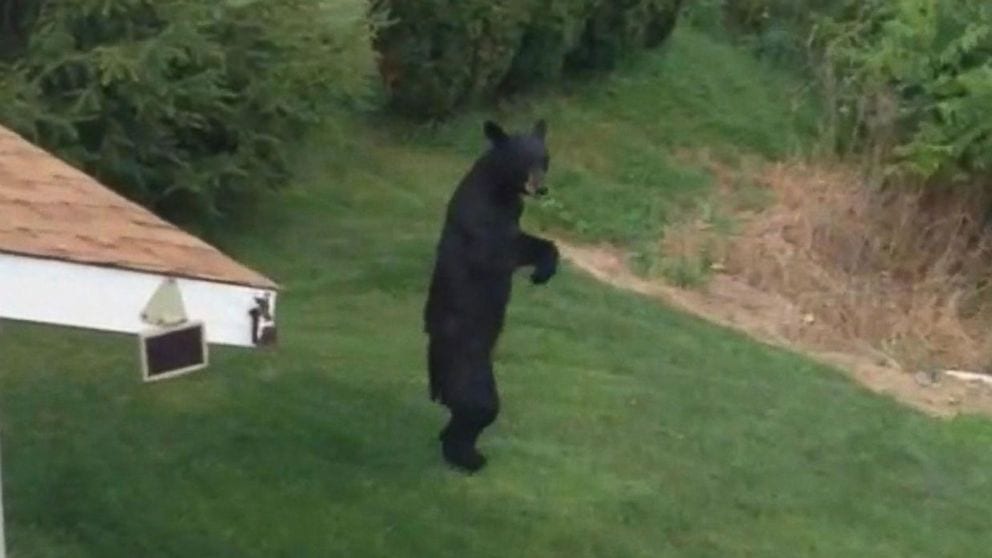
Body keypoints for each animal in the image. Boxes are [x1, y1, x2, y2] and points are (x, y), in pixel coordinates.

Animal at [423, 119, 560, 473]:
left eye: (545, 159)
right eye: (524, 160)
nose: (541, 188)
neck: (500, 188)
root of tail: (436, 381)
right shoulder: (484, 219)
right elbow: (503, 250)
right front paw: (543, 270)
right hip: (470, 373)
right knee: (478, 410)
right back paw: (468, 458)